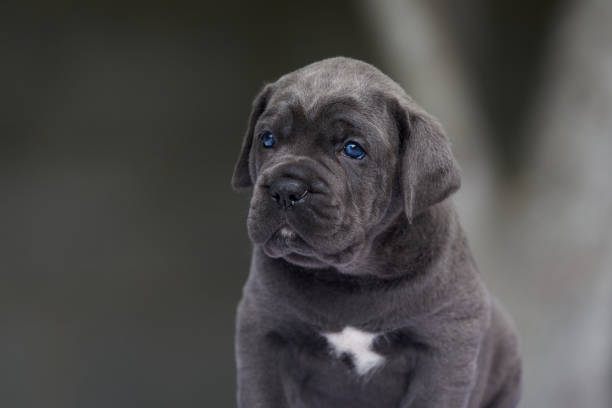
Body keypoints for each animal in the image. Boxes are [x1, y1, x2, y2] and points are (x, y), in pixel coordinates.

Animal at [230, 55, 520, 406]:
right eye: (267, 139)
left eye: (353, 149)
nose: (286, 189)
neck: (351, 278)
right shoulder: (262, 332)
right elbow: (264, 394)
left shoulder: (446, 345)